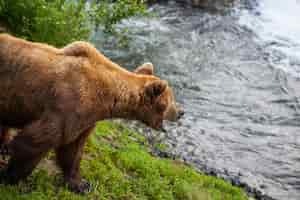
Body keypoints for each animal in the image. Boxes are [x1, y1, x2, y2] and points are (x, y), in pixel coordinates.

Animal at [0, 34, 183, 194]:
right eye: (171, 100)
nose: (181, 112)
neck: (106, 98)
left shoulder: (84, 119)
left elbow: (73, 150)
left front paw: (80, 184)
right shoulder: (68, 105)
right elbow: (36, 140)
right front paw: (11, 177)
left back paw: (4, 146)